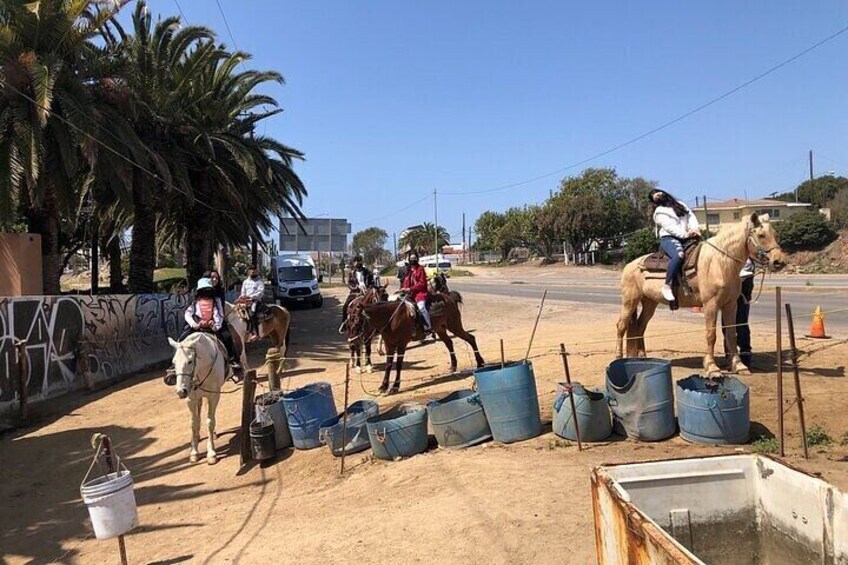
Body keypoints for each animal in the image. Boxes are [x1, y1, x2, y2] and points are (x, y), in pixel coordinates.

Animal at [169, 330, 227, 462]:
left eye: (190, 361)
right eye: (174, 362)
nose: (181, 391)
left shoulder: (213, 396)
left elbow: (210, 421)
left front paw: (211, 453)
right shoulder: (191, 399)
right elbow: (194, 423)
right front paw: (194, 452)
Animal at [348, 290, 486, 392]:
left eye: (358, 321)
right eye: (350, 319)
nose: (352, 340)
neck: (392, 317)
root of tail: (449, 297)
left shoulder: (402, 344)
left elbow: (398, 364)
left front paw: (395, 386)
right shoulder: (389, 344)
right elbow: (388, 364)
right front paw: (383, 386)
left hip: (455, 326)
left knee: (470, 338)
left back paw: (480, 362)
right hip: (441, 329)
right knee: (449, 343)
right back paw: (453, 366)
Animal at [616, 212, 788, 374]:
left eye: (775, 234)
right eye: (761, 235)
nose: (779, 261)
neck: (719, 262)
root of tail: (630, 265)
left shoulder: (731, 305)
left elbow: (731, 334)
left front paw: (739, 366)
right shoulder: (710, 304)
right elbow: (711, 335)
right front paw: (712, 367)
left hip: (650, 303)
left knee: (640, 326)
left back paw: (643, 358)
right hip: (630, 301)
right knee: (621, 326)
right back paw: (618, 358)